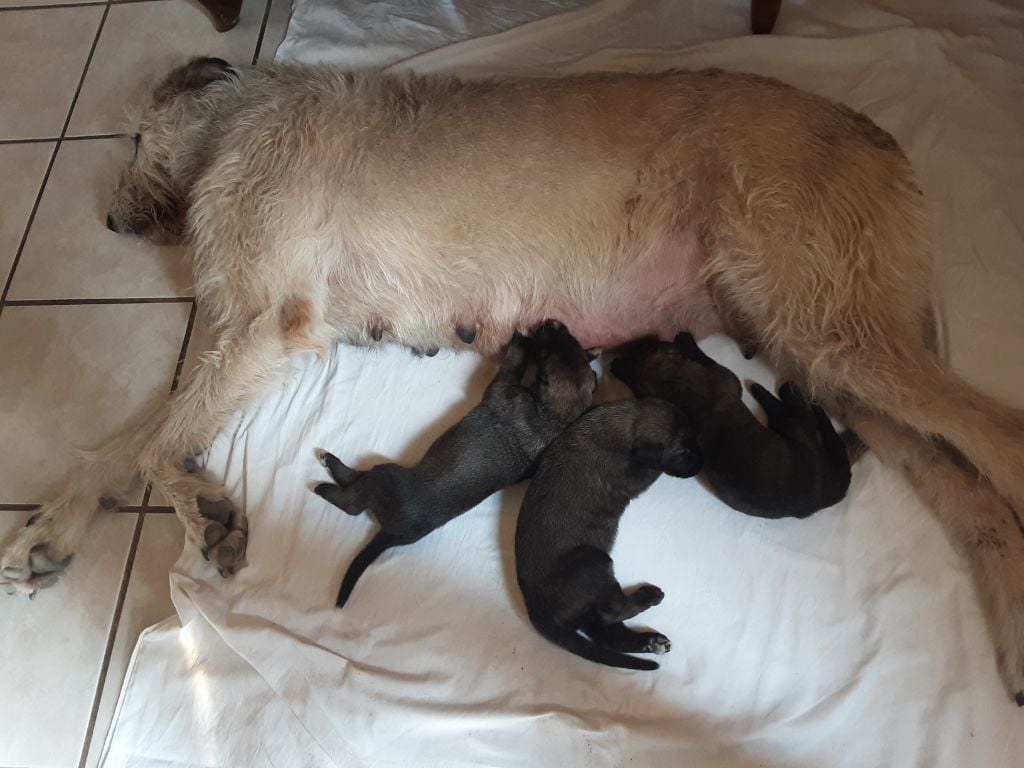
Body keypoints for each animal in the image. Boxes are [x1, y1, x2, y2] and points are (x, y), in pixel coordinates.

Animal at [315, 321, 598, 610]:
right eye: (569, 339)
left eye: (549, 348)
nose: (552, 322)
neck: (554, 415)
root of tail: (395, 533)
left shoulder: (502, 387)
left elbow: (513, 364)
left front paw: (521, 340)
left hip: (384, 476)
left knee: (354, 501)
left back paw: (327, 474)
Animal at [516, 399, 700, 671]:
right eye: (683, 452)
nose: (701, 466)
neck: (621, 427)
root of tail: (534, 605)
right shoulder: (633, 477)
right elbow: (654, 468)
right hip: (594, 559)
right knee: (612, 611)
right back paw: (649, 597)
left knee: (609, 634)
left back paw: (652, 641)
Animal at [610, 333, 851, 520]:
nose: (645, 338)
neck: (678, 383)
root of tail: (823, 498)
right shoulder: (724, 375)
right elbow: (705, 358)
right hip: (794, 429)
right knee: (799, 414)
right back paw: (784, 391)